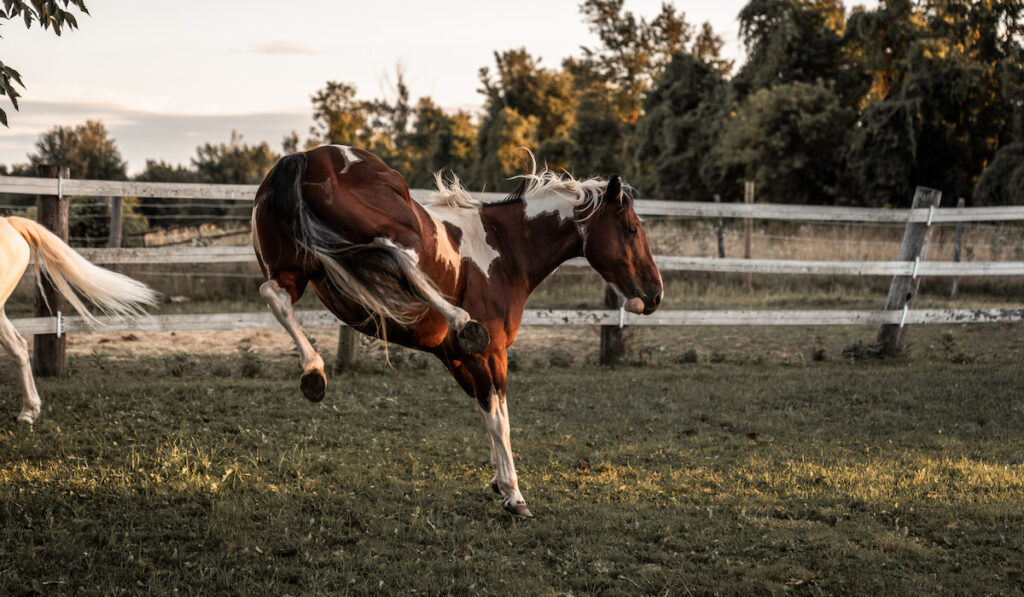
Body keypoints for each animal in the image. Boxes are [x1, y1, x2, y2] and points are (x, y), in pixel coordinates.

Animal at [251, 143, 659, 514]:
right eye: (631, 229)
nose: (654, 294)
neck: (505, 250)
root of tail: (303, 158)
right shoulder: (491, 354)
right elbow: (500, 417)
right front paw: (514, 495)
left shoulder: (457, 360)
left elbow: (486, 411)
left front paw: (498, 481)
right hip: (388, 230)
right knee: (395, 255)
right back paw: (462, 321)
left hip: (294, 268)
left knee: (275, 293)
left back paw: (313, 373)